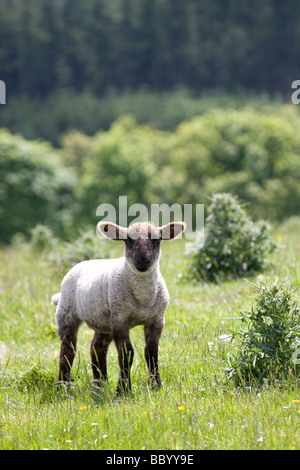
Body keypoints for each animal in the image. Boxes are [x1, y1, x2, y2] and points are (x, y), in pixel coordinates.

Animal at [51, 220, 185, 392]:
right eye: (127, 240)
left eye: (156, 240)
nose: (143, 260)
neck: (143, 300)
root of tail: (84, 262)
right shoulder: (120, 319)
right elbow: (127, 353)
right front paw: (123, 389)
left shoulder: (157, 319)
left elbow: (151, 352)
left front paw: (156, 385)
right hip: (67, 313)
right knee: (68, 350)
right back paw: (63, 384)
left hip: (104, 321)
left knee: (97, 347)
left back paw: (100, 383)